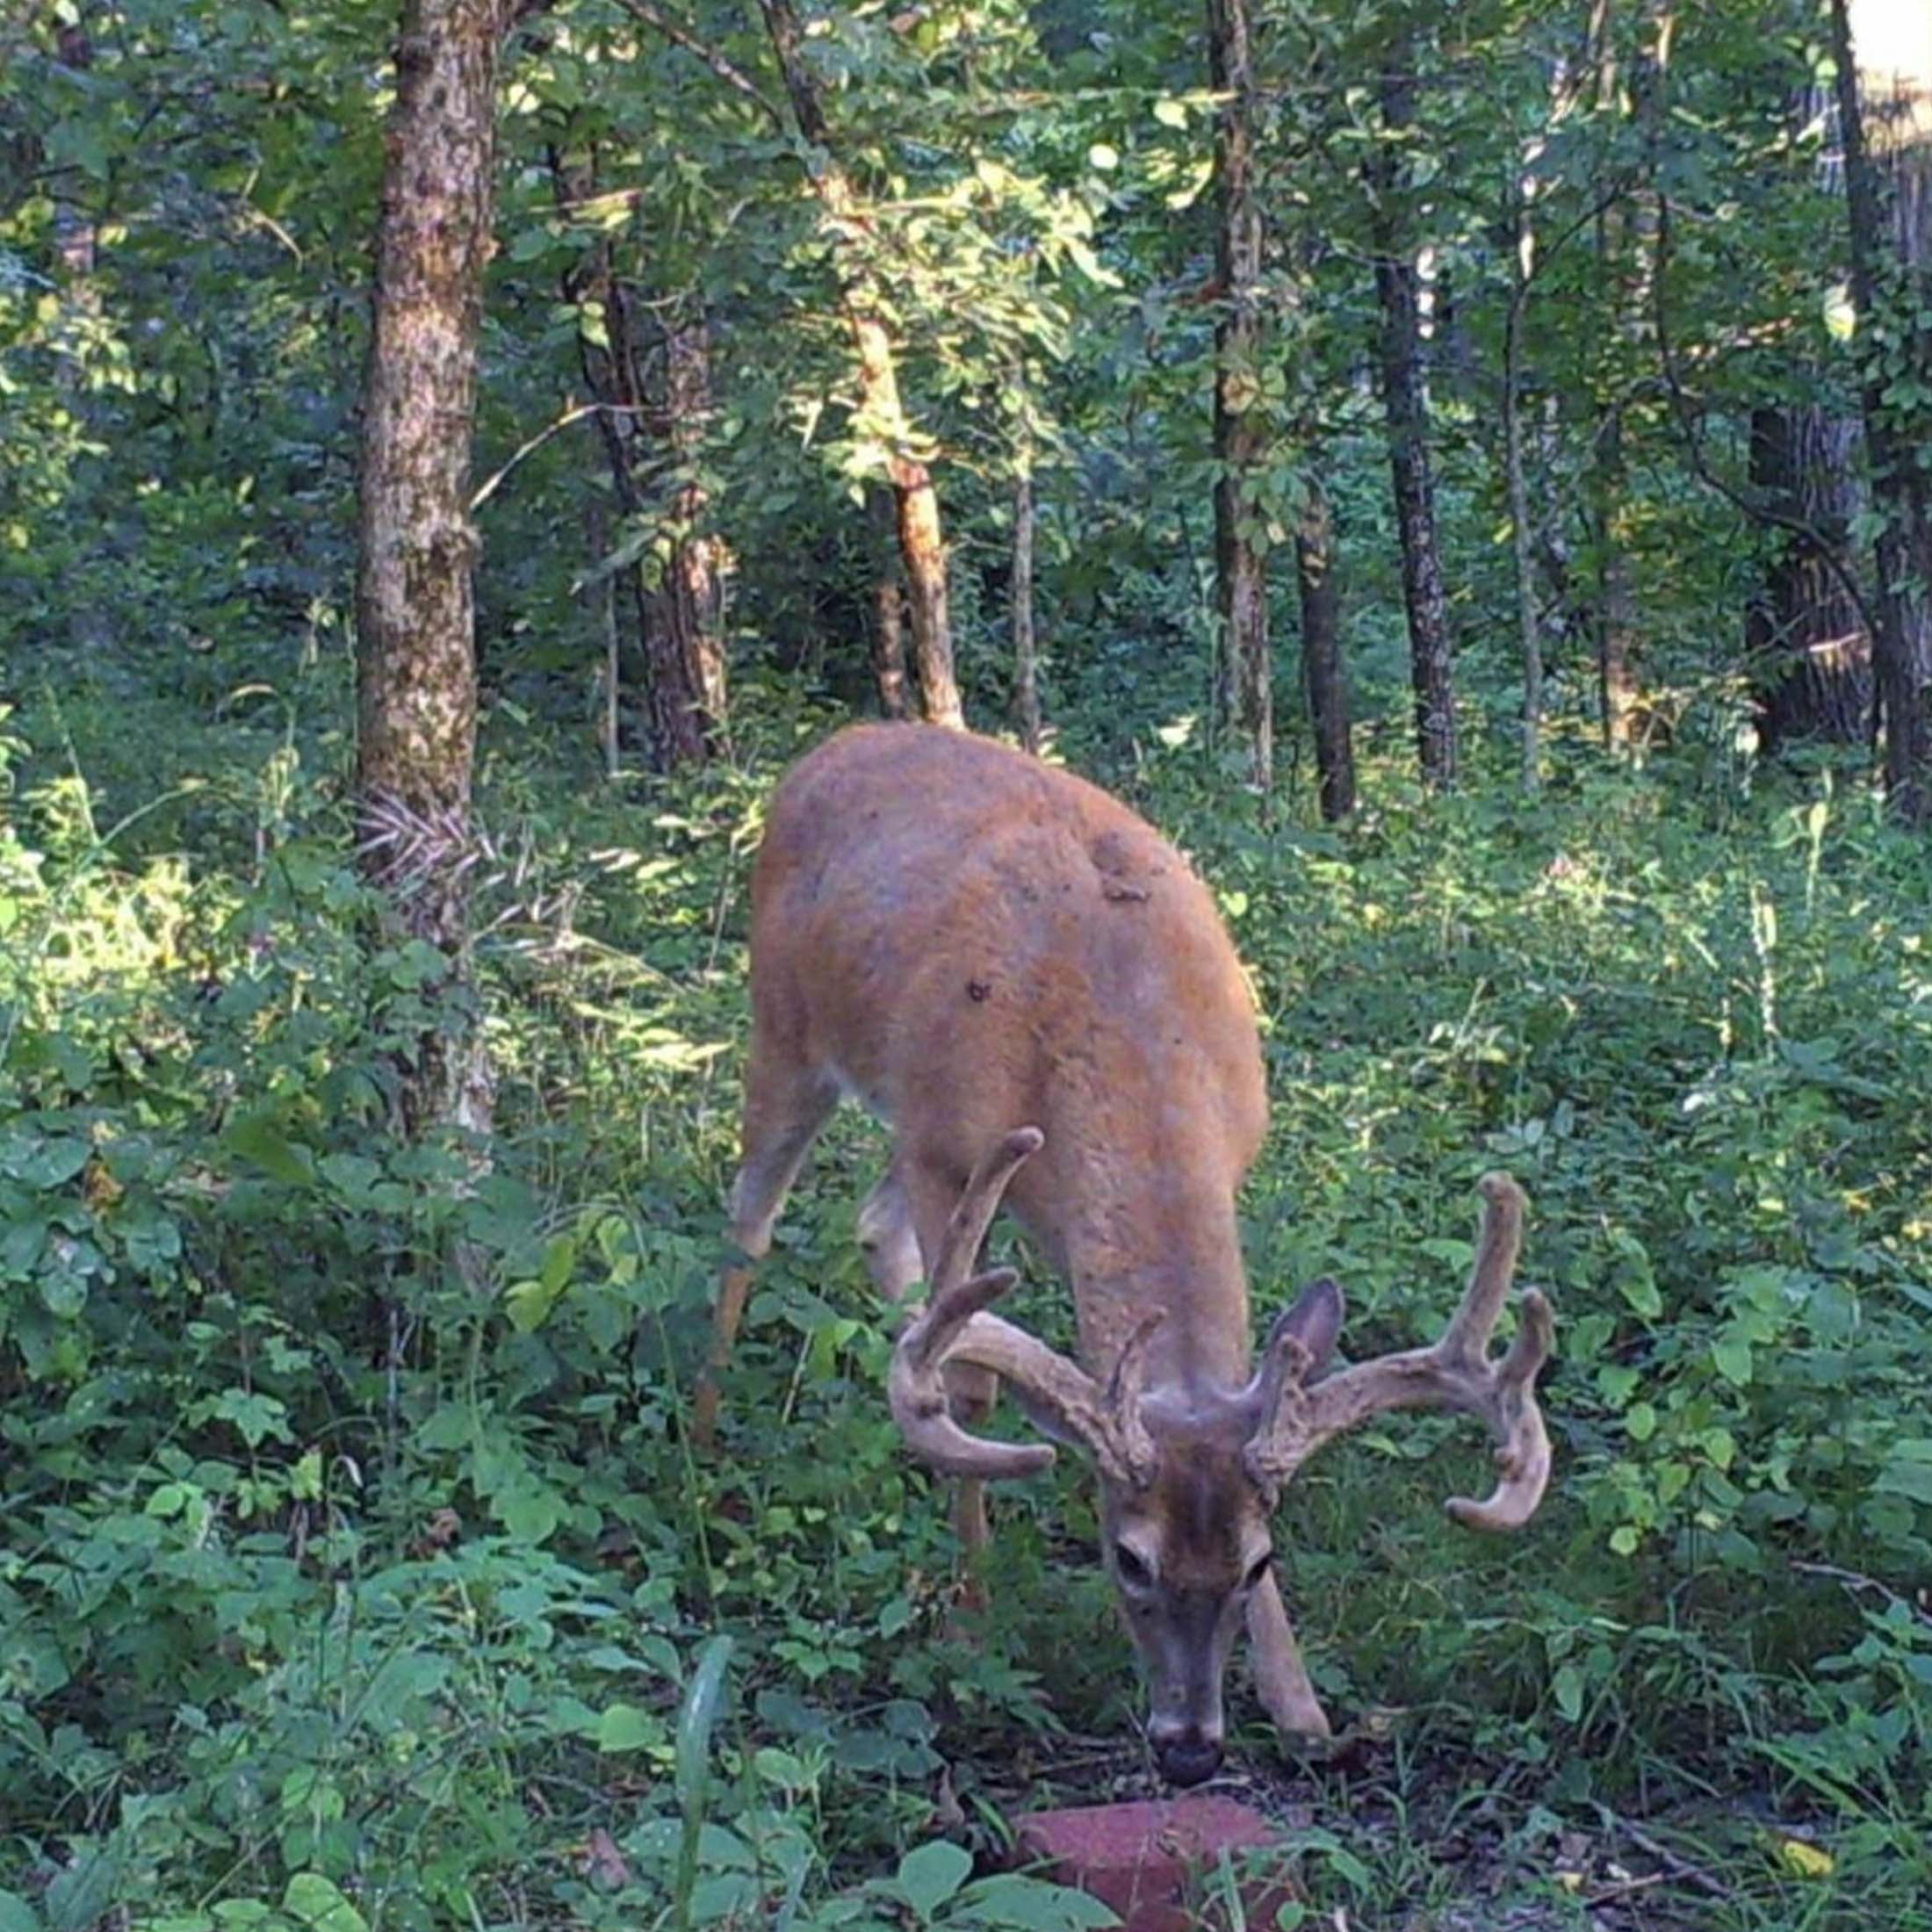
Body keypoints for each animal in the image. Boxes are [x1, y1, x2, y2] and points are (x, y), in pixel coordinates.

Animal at [694, 723, 1554, 1786]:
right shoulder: (946, 1149)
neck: (1126, 1028)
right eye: (1126, 1557)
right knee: (747, 1227)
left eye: (1258, 1562)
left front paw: (1303, 1708)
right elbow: (969, 1382)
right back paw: (702, 1446)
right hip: (783, 1028)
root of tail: (828, 747)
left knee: (869, 1224)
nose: (1188, 1751)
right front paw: (973, 1629)